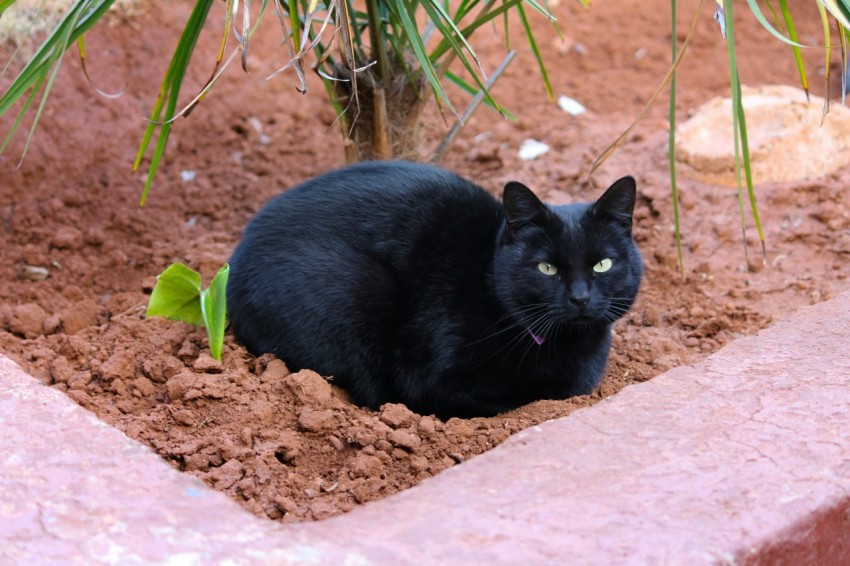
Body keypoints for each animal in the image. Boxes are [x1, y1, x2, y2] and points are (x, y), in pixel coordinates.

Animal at [229, 162, 640, 420]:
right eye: (547, 268)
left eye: (603, 264)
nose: (581, 297)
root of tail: (233, 263)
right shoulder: (432, 380)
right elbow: (513, 400)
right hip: (360, 284)